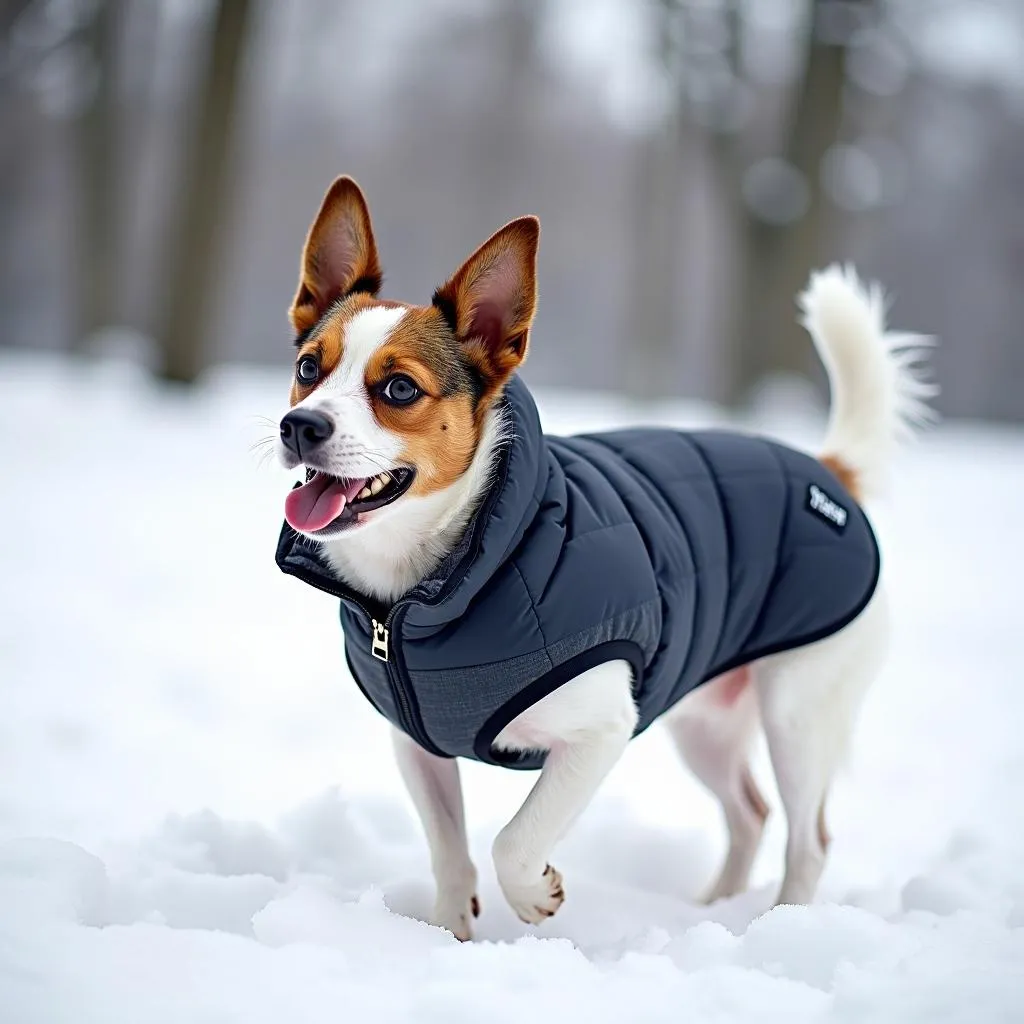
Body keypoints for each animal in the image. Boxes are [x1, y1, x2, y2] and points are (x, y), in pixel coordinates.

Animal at [272, 174, 937, 937]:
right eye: (308, 368)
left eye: (400, 388)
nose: (298, 425)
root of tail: (828, 471)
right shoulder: (418, 747)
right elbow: (449, 851)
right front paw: (447, 932)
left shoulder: (601, 729)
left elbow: (513, 842)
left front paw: (534, 895)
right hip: (706, 722)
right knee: (750, 812)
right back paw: (711, 907)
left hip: (798, 713)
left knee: (809, 840)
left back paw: (780, 926)